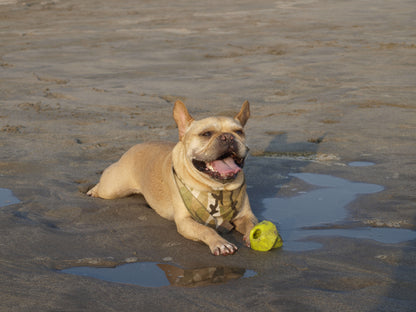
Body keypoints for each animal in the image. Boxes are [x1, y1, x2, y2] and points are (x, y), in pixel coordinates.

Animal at [87, 100, 256, 256]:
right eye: (206, 134)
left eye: (239, 131)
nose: (227, 137)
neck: (217, 188)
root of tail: (134, 147)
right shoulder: (185, 221)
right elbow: (205, 230)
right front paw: (220, 243)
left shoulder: (246, 215)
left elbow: (252, 224)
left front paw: (253, 235)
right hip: (112, 189)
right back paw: (93, 190)